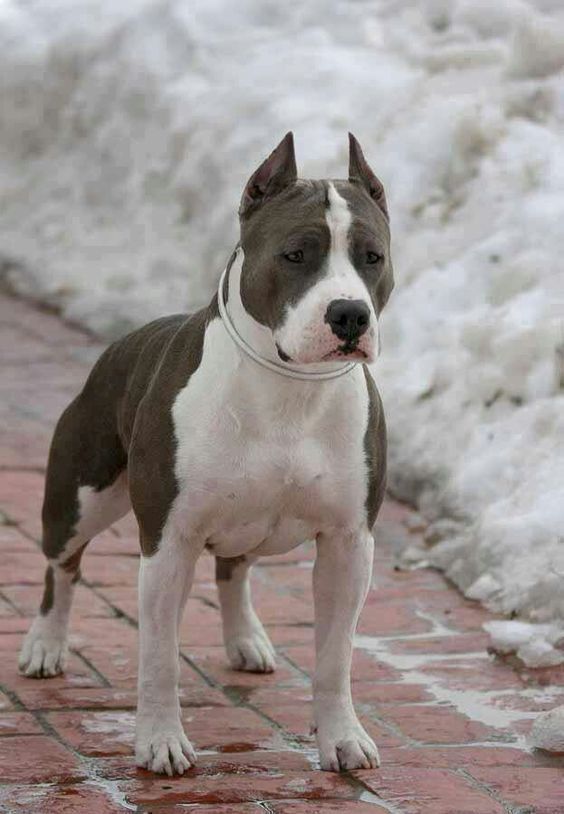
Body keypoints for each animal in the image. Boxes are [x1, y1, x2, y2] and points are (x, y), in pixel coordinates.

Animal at [19, 132, 394, 776]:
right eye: (296, 254)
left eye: (372, 257)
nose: (349, 313)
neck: (289, 390)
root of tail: (117, 346)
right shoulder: (168, 541)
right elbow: (160, 656)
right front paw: (160, 741)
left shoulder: (349, 545)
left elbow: (334, 657)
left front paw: (342, 737)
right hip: (77, 501)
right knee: (61, 568)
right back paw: (45, 645)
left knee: (232, 570)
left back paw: (246, 639)